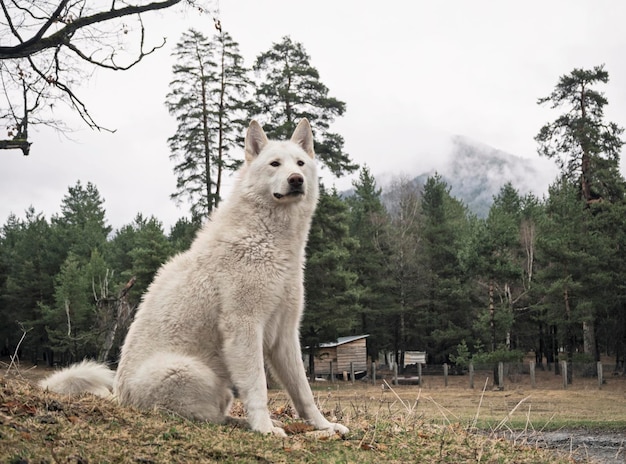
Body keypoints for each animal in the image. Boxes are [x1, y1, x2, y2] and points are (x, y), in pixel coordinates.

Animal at [41, 119, 348, 438]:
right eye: (275, 163)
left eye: (300, 163)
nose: (296, 179)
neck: (267, 240)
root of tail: (120, 397)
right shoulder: (245, 326)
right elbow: (258, 389)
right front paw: (264, 428)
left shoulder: (285, 335)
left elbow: (303, 392)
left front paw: (324, 426)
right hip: (193, 374)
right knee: (208, 418)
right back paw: (255, 425)